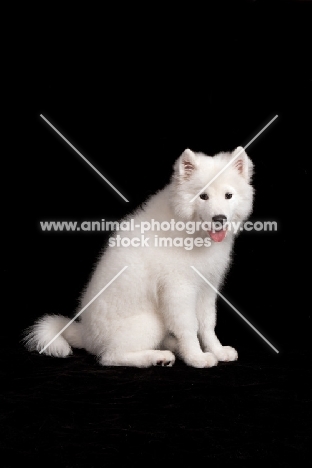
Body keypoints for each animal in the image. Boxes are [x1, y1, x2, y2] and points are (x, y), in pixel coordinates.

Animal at [24, 148, 254, 368]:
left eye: (228, 195)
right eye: (203, 196)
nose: (219, 219)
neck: (192, 232)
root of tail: (85, 334)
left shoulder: (206, 288)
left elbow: (207, 325)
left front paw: (217, 351)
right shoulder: (178, 291)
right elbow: (189, 327)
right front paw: (196, 357)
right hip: (151, 322)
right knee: (110, 357)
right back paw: (158, 357)